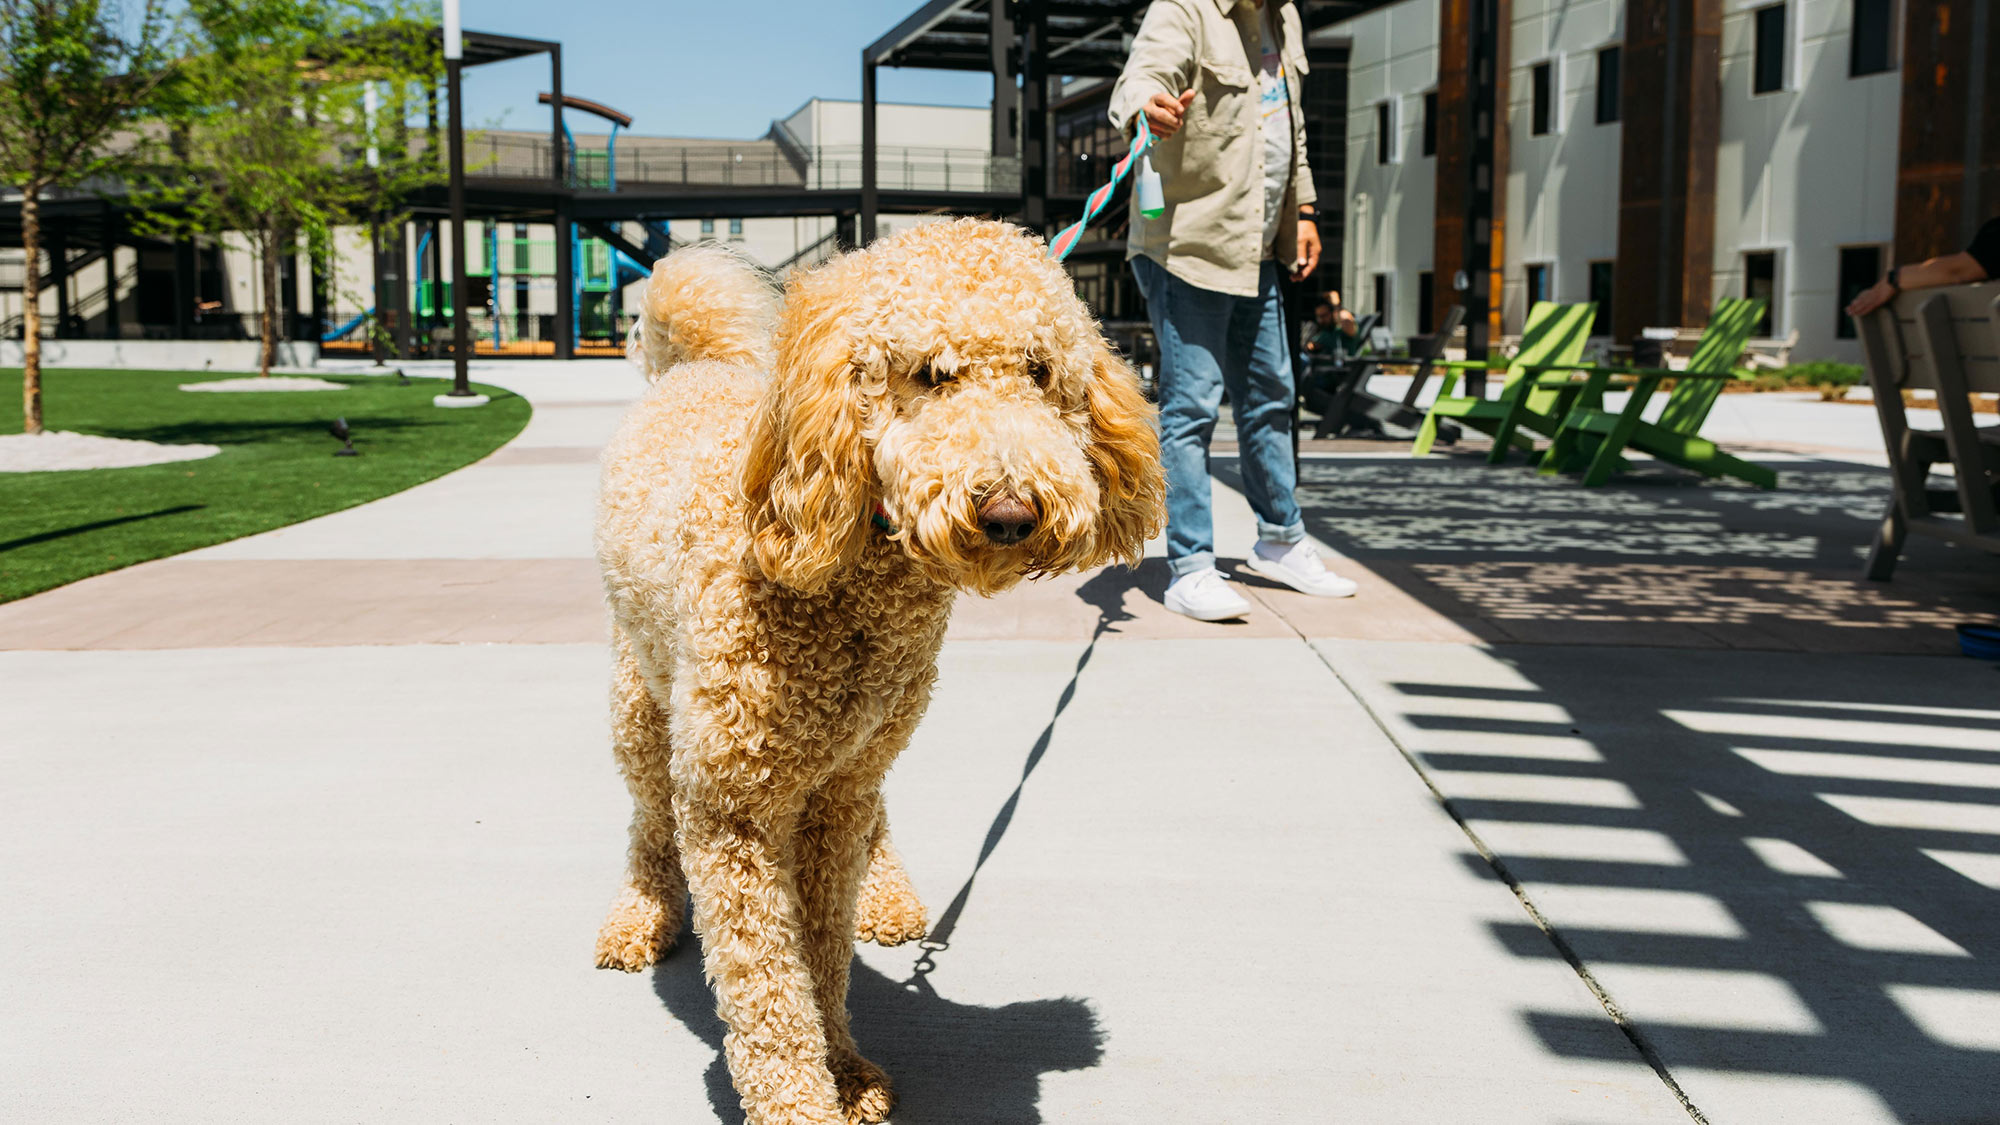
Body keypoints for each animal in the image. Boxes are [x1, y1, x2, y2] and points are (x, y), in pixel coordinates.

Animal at [584, 221, 1168, 1120]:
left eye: (1040, 372)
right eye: (931, 374)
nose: (1010, 511)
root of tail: (699, 365)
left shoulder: (837, 789)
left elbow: (821, 952)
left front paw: (843, 1064)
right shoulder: (730, 804)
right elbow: (768, 981)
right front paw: (800, 1099)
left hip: (876, 734)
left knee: (874, 809)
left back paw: (885, 894)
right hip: (641, 695)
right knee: (650, 815)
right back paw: (642, 911)